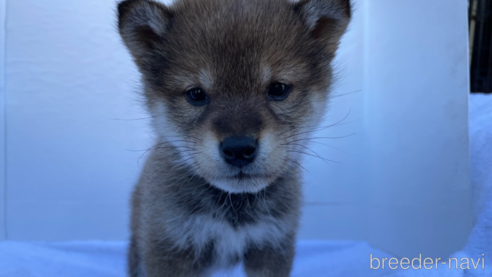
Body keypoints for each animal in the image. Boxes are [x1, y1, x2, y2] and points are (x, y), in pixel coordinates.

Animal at [117, 0, 352, 274]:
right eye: (196, 94)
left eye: (278, 89)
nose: (239, 149)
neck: (234, 208)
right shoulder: (169, 247)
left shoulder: (272, 245)